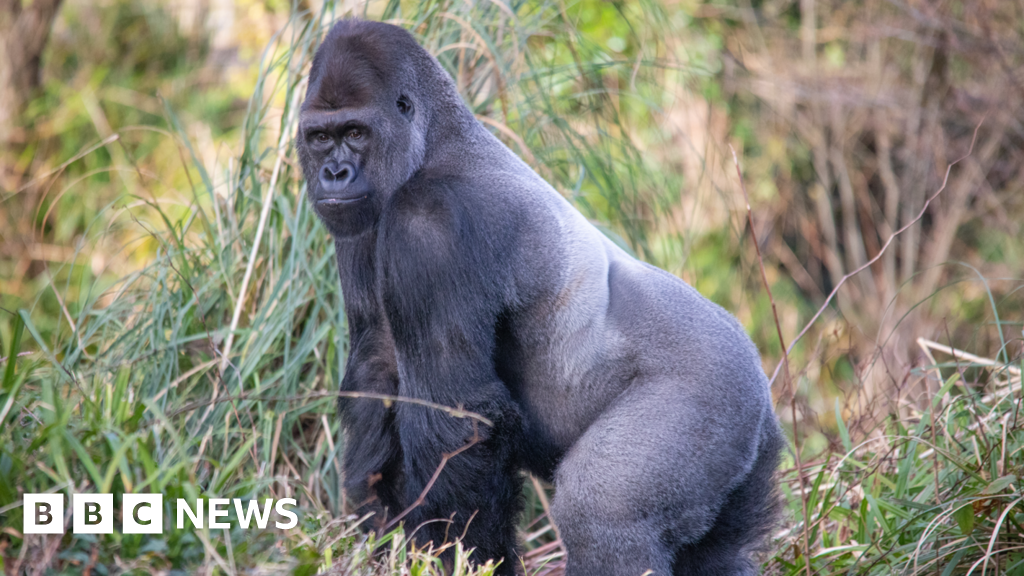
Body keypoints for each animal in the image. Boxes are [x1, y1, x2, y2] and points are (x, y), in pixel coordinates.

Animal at [296, 19, 782, 573]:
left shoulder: (430, 222)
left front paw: (467, 557)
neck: (436, 139)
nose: (335, 174)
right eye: (320, 137)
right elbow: (376, 373)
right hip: (747, 452)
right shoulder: (359, 224)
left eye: (356, 133)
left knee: (601, 510)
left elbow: (460, 419)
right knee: (722, 548)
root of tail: (759, 381)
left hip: (712, 393)